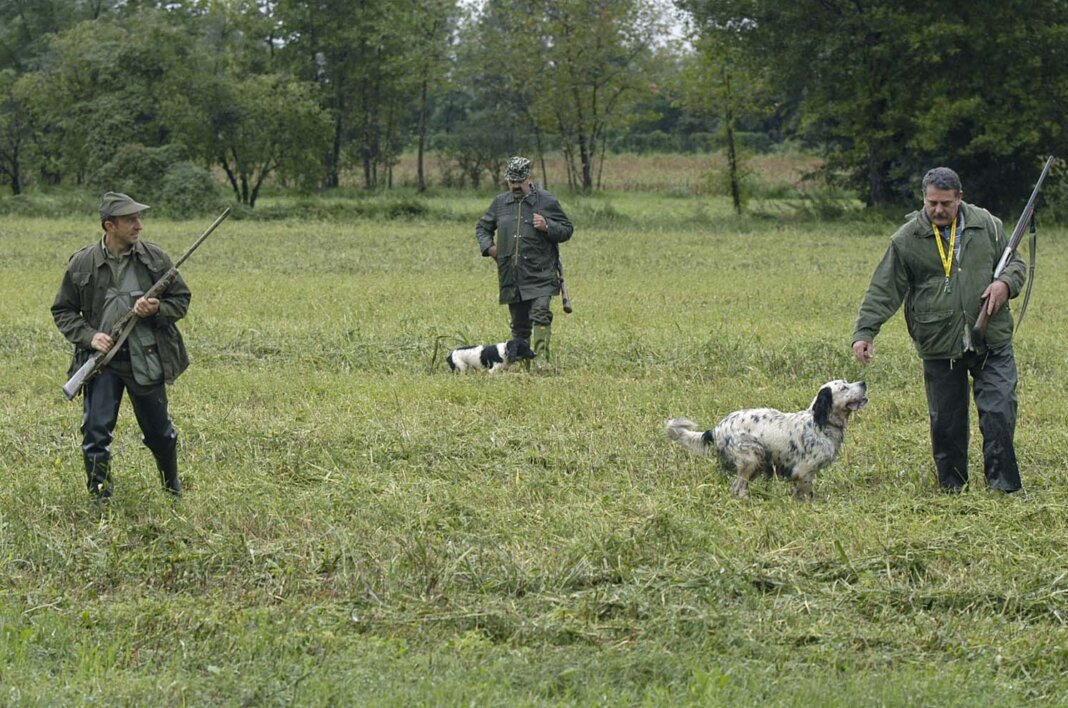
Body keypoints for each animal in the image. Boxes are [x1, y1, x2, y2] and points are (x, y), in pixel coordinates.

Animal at [666, 380, 867, 501]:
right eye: (844, 387)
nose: (863, 382)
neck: (819, 423)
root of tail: (716, 429)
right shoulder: (804, 471)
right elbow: (806, 493)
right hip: (751, 458)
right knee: (737, 488)